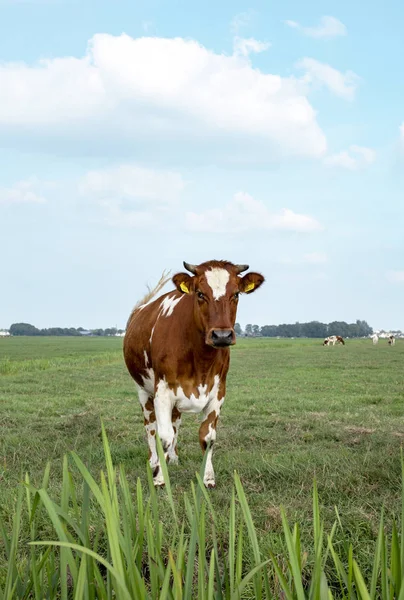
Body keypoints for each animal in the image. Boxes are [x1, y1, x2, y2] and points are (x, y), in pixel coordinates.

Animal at [122, 258, 266, 488]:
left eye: (236, 294)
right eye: (200, 293)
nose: (222, 335)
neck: (200, 360)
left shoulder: (218, 392)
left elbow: (207, 437)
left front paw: (207, 478)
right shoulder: (162, 391)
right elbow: (163, 436)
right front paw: (159, 477)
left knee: (175, 422)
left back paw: (173, 458)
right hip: (143, 390)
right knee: (150, 426)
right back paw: (153, 461)